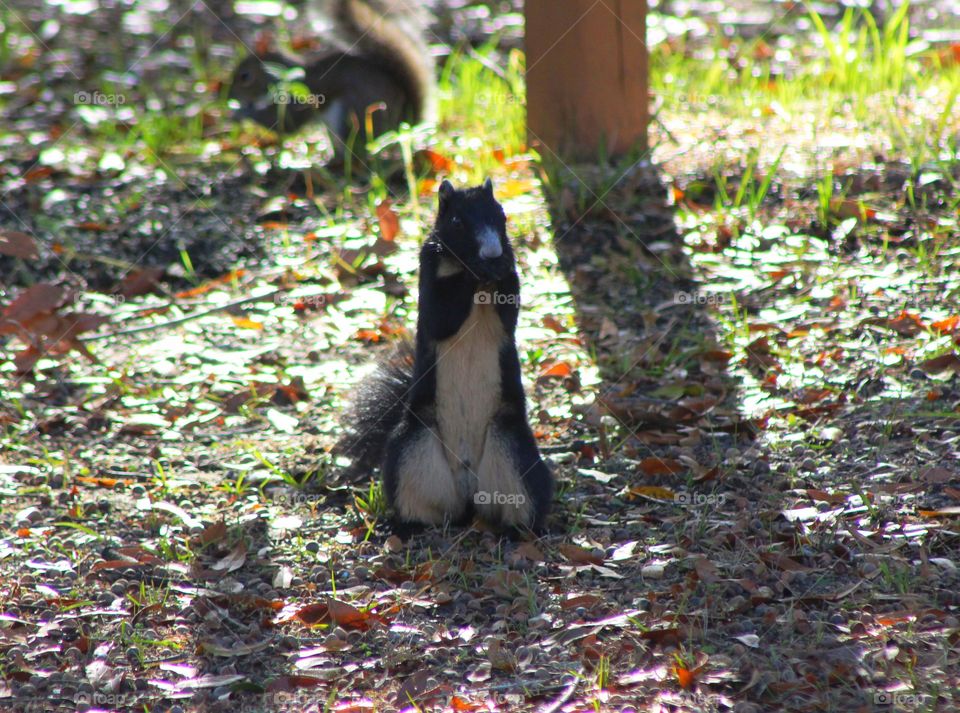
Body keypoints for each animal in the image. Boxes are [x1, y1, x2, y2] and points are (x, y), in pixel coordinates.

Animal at [229, 0, 432, 161]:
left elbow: (285, 122)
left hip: (351, 117)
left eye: (244, 77)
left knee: (358, 154)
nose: (230, 96)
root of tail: (402, 123)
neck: (283, 74)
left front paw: (241, 112)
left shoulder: (301, 96)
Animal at [338, 181, 552, 532]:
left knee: (522, 500)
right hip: (411, 449)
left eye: (502, 215)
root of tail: (468, 492)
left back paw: (517, 531)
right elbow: (440, 317)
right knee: (420, 503)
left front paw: (499, 266)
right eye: (456, 222)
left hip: (513, 448)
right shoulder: (428, 272)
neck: (479, 282)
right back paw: (410, 527)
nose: (491, 253)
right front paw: (472, 270)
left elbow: (508, 312)